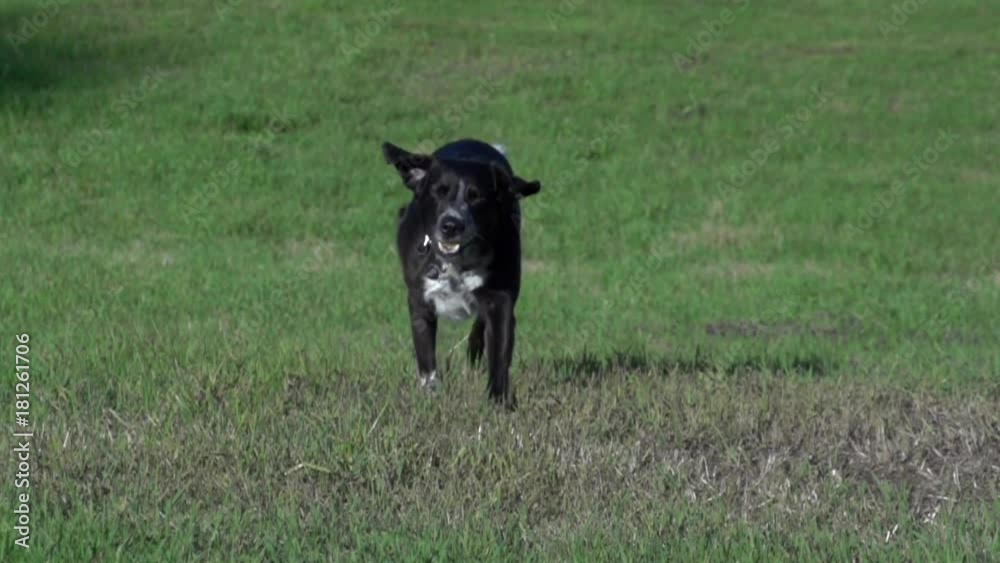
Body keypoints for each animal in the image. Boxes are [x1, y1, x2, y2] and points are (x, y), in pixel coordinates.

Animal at [382, 139, 541, 406]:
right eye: (439, 191)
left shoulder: (500, 299)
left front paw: (497, 403)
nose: (451, 225)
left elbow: (499, 354)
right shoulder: (419, 298)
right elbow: (426, 357)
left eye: (476, 197)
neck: (457, 263)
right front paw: (431, 396)